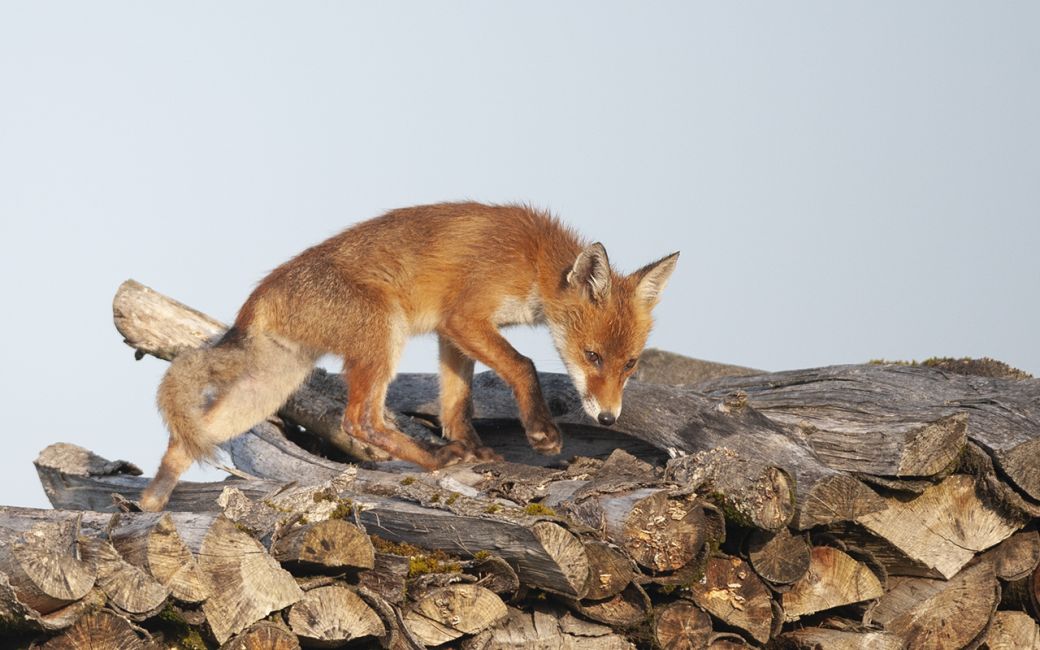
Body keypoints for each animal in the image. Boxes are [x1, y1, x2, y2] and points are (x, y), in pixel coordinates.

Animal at [138, 204, 678, 509]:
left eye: (630, 364)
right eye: (592, 356)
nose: (608, 419)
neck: (534, 262)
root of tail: (257, 298)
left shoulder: (450, 332)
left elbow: (456, 403)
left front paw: (474, 448)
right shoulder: (465, 317)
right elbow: (523, 366)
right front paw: (540, 433)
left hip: (270, 387)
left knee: (196, 434)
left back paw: (152, 499)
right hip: (383, 335)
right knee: (359, 420)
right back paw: (433, 460)